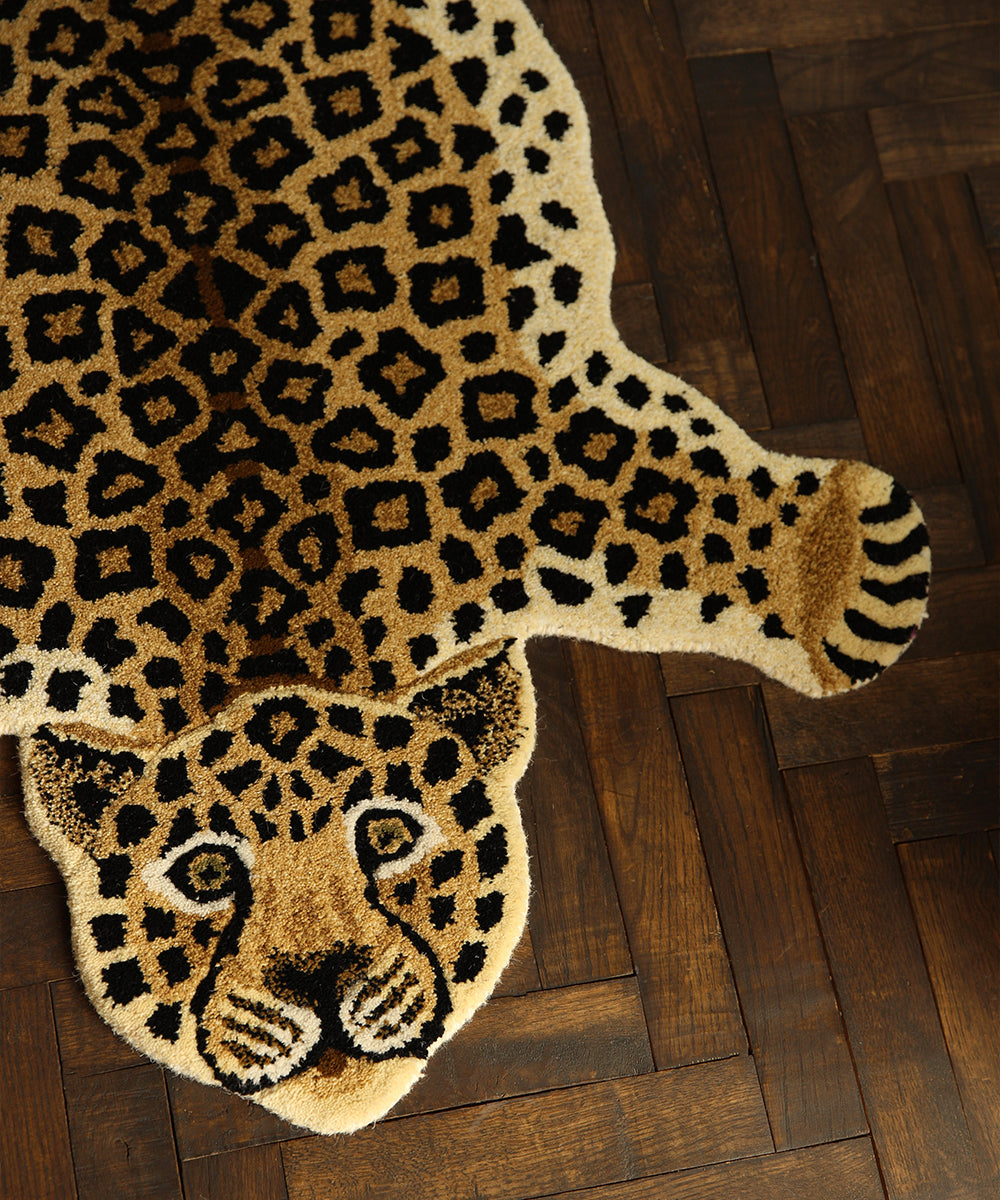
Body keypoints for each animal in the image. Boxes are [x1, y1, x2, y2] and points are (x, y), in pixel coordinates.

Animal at [0, 0, 930, 1132]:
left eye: (390, 838)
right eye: (208, 871)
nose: (320, 976)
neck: (266, 616)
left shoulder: (508, 455)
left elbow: (650, 496)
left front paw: (852, 568)